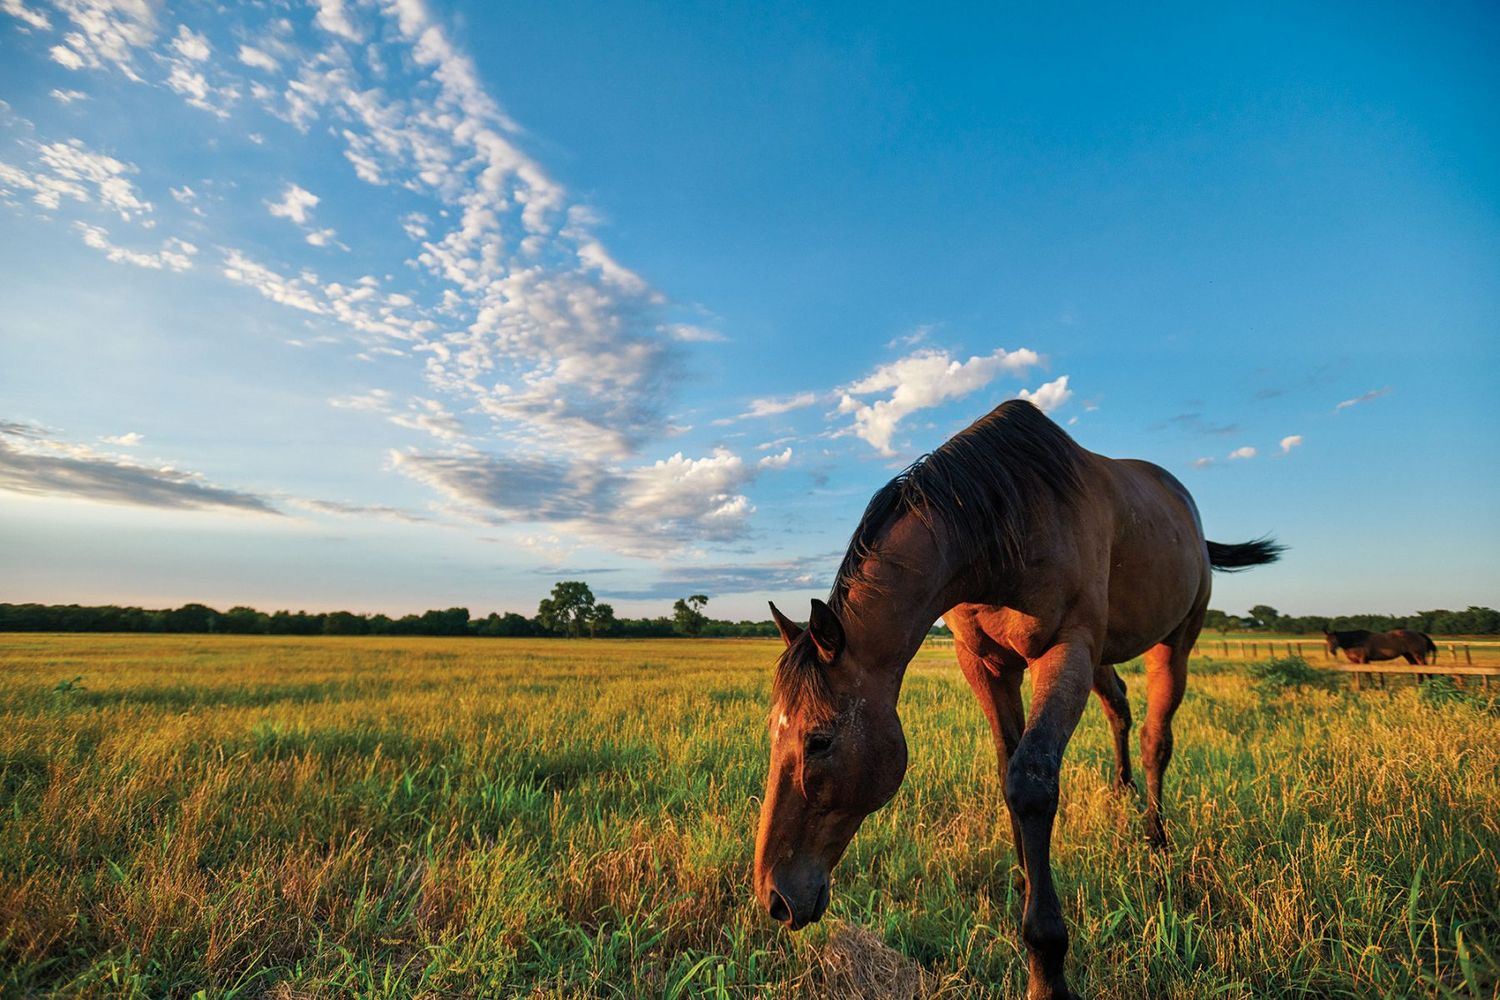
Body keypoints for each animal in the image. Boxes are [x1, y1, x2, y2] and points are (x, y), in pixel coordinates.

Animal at [753, 399, 1281, 1000]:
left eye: (818, 740)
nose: (774, 899)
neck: (1003, 528)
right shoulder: (986, 665)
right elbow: (1007, 768)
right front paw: (1027, 878)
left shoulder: (1066, 650)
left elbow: (1030, 781)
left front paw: (1046, 964)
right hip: (1105, 656)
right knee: (1119, 709)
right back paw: (1120, 795)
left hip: (1174, 642)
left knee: (1156, 738)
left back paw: (1156, 840)